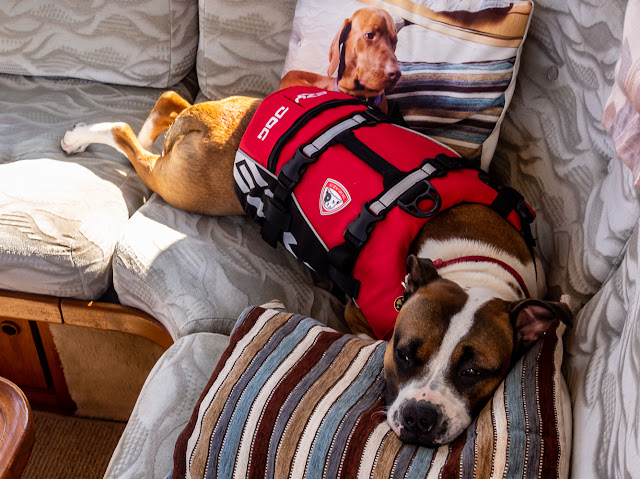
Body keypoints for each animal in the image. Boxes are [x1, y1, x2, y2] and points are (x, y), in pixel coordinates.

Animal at [60, 5, 568, 448]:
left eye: (475, 372)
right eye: (404, 352)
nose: (421, 415)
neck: (472, 260)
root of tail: (221, 122)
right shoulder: (360, 318)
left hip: (197, 145)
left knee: (168, 101)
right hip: (188, 187)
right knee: (129, 135)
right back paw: (80, 137)